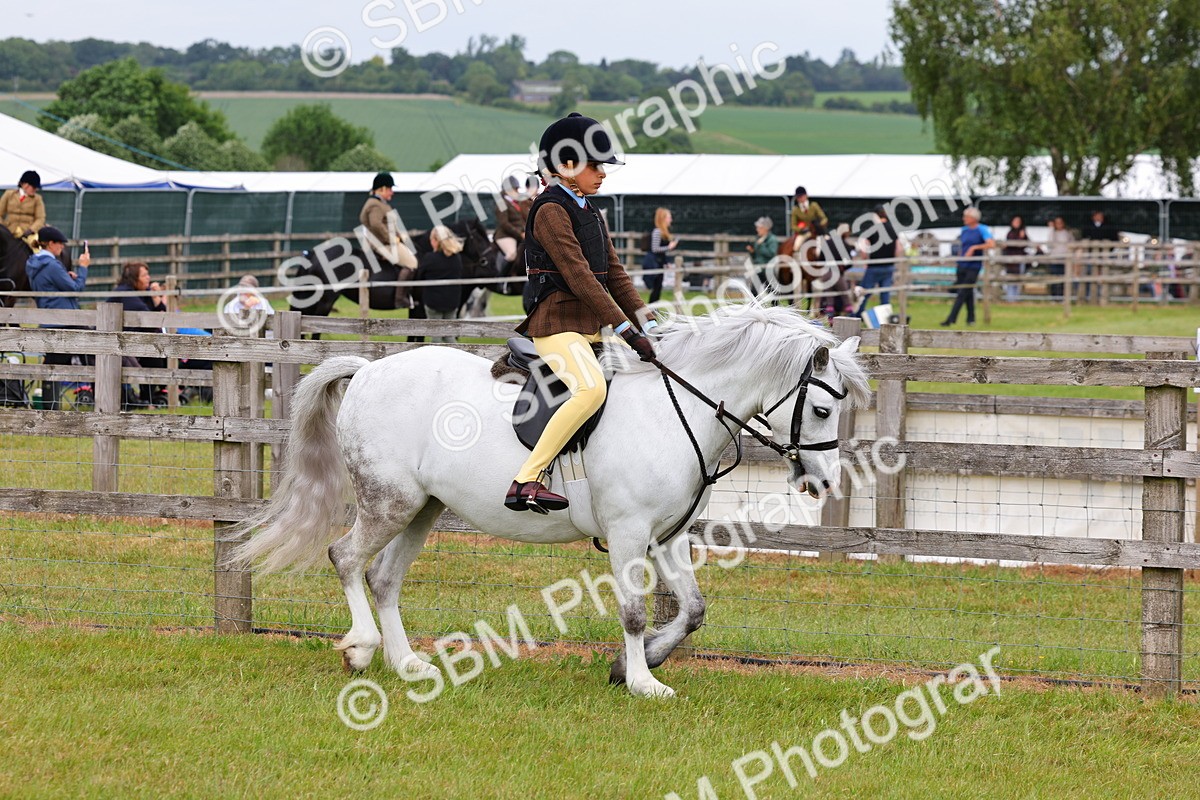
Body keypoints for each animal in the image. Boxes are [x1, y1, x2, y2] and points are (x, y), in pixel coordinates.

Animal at [230, 303, 869, 697]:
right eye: (820, 409)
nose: (823, 482)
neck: (674, 410)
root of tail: (366, 371)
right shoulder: (630, 533)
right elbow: (635, 612)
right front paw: (644, 682)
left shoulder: (667, 536)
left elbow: (691, 610)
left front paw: (633, 665)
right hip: (390, 500)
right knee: (346, 558)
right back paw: (361, 650)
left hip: (424, 507)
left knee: (383, 577)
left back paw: (406, 661)